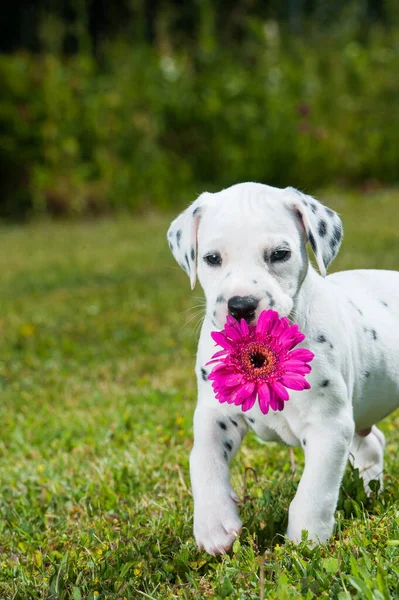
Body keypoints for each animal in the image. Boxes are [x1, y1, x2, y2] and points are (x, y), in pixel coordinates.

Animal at [166, 180, 399, 556]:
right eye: (212, 258)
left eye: (279, 254)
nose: (240, 305)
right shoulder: (215, 413)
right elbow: (203, 460)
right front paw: (213, 524)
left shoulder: (328, 425)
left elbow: (314, 489)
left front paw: (306, 539)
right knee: (372, 442)